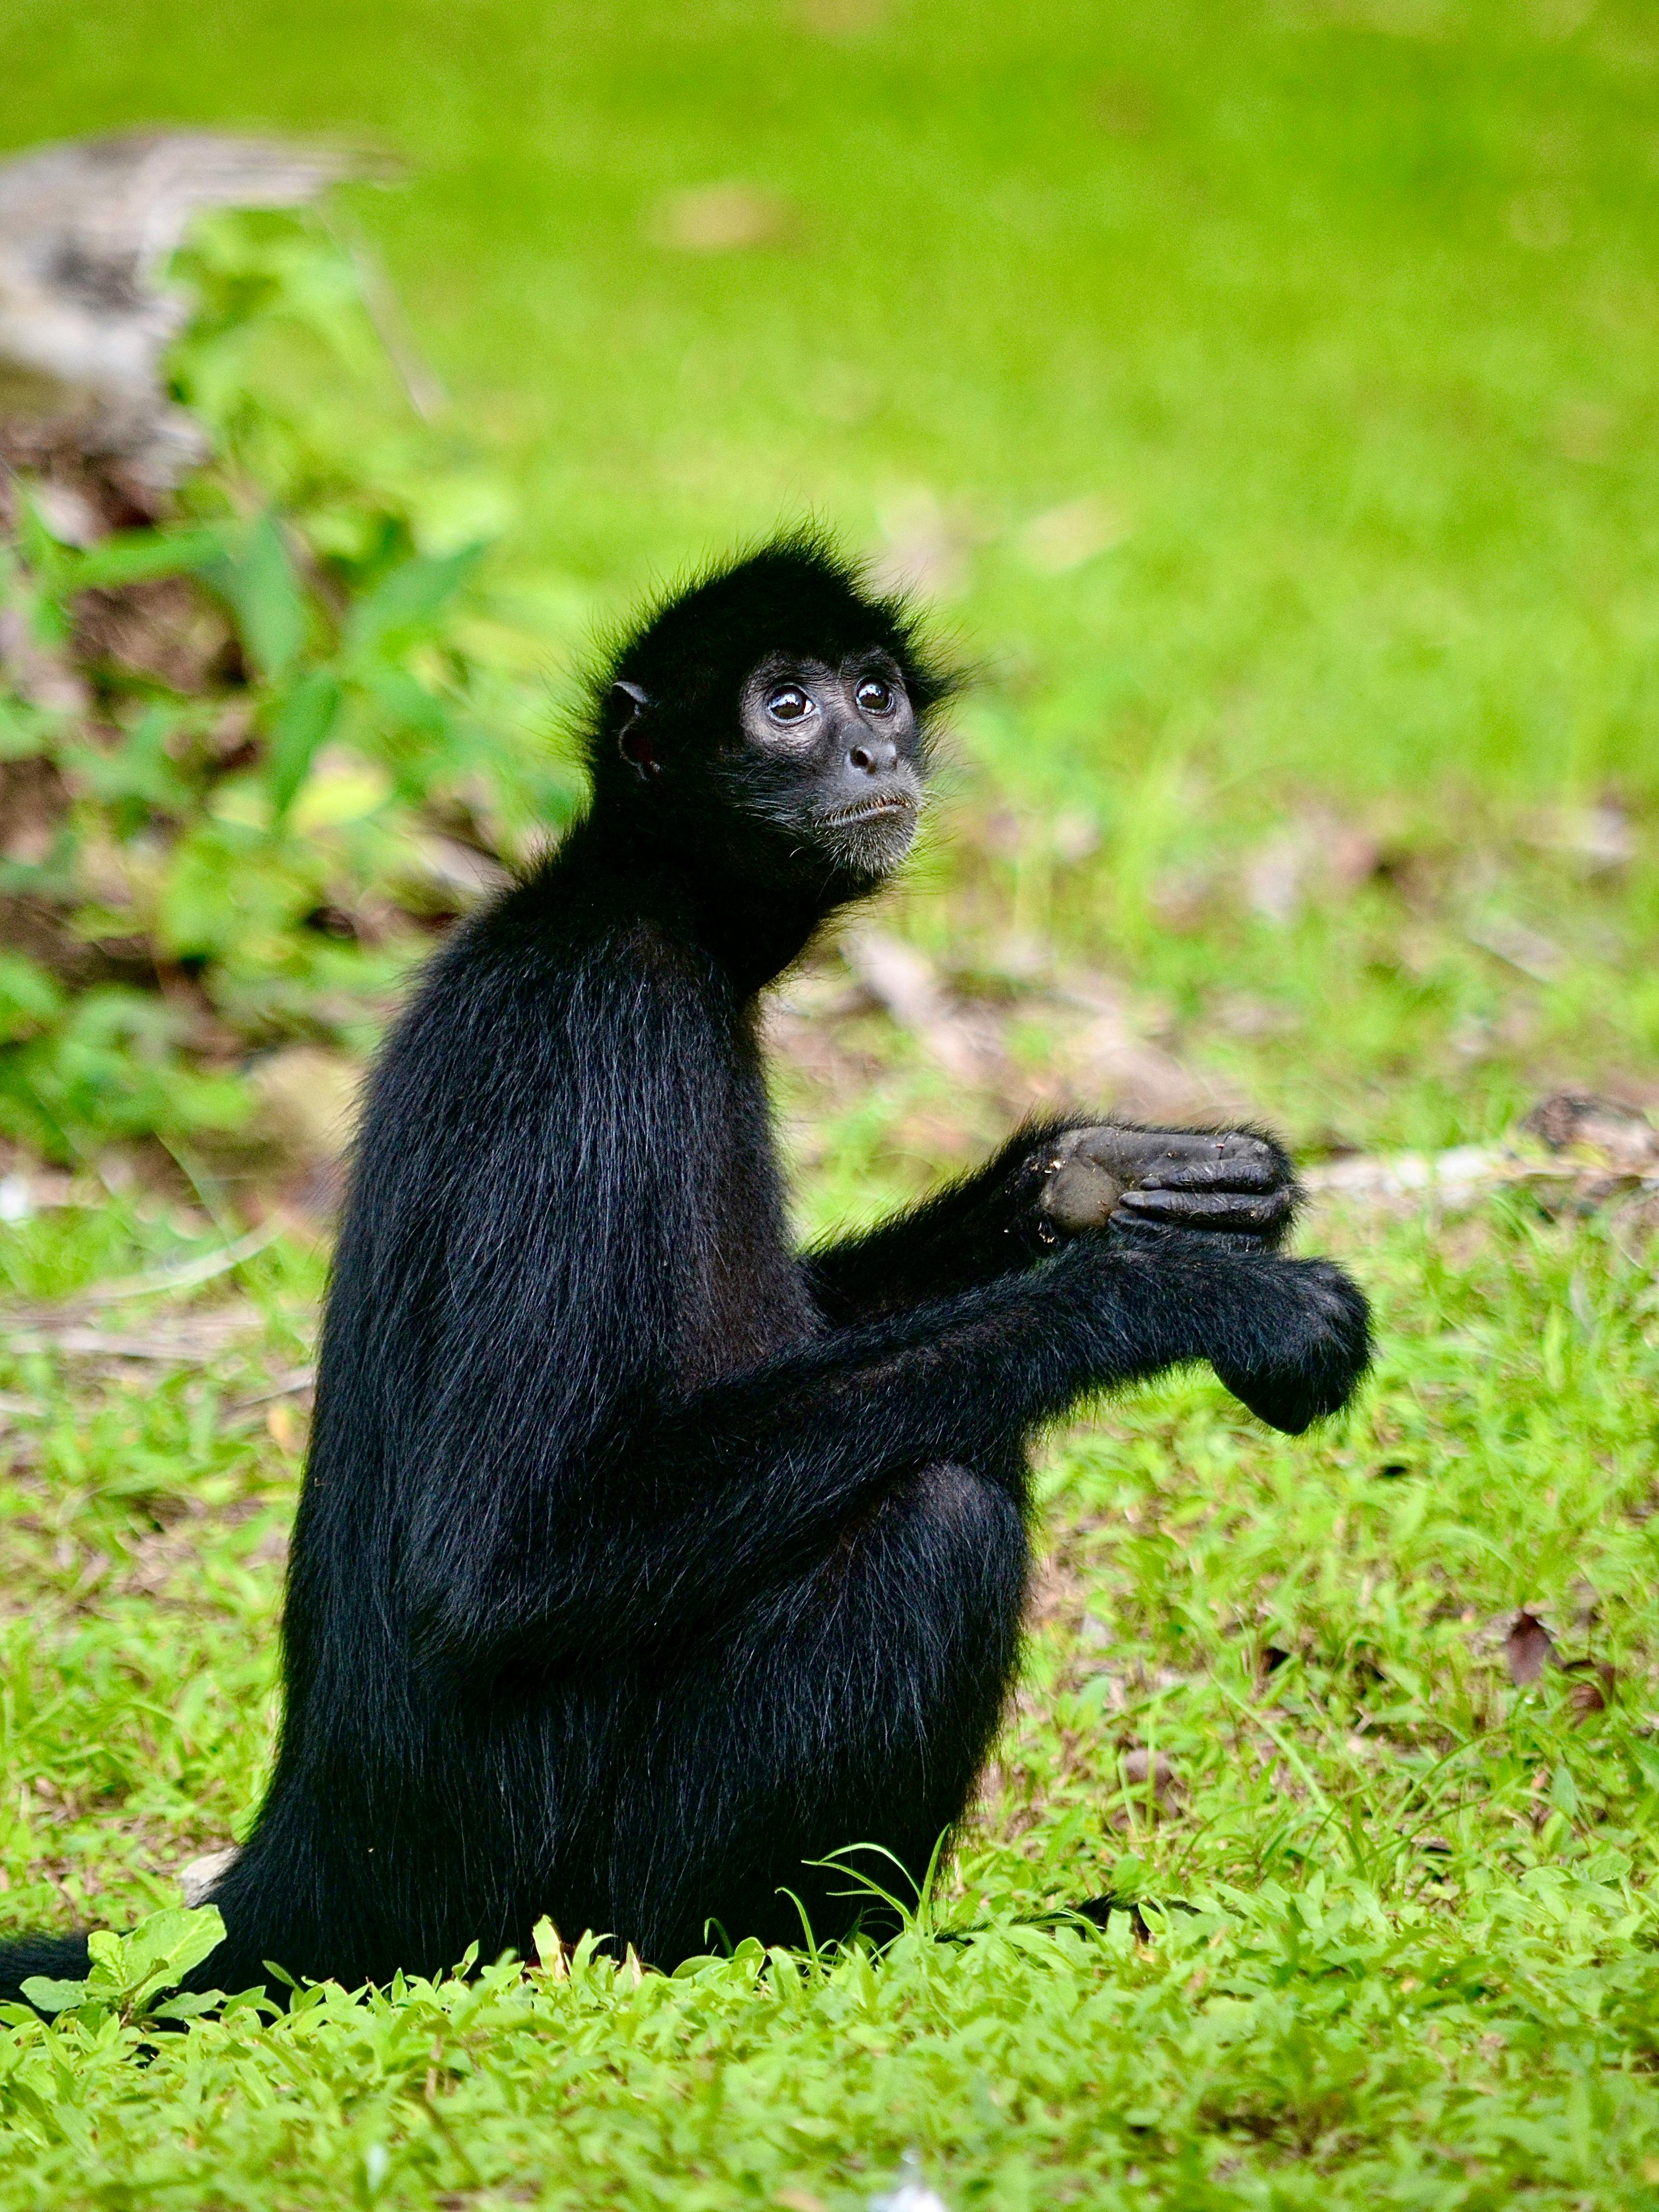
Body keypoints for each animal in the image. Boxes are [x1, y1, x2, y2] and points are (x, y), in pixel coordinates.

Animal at [0, 531, 1369, 2004]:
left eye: (876, 694)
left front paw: (1086, 1179)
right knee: (936, 1509)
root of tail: (304, 1873)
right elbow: (499, 1561)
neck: (634, 897)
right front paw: (1169, 1291)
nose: (874, 754)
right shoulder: (604, 1036)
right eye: (787, 707)